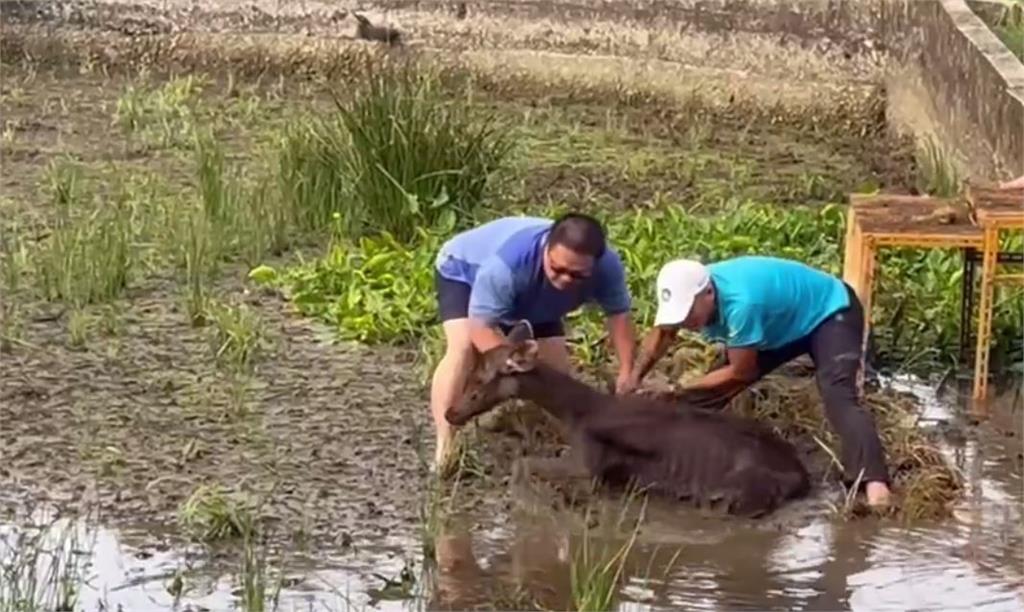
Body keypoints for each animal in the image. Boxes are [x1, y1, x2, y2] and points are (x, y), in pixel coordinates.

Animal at [444, 321, 811, 517]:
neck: (576, 413)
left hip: (741, 492)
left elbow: (524, 462)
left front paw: (529, 502)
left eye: (479, 380)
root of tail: (803, 476)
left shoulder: (590, 462)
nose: (451, 412)